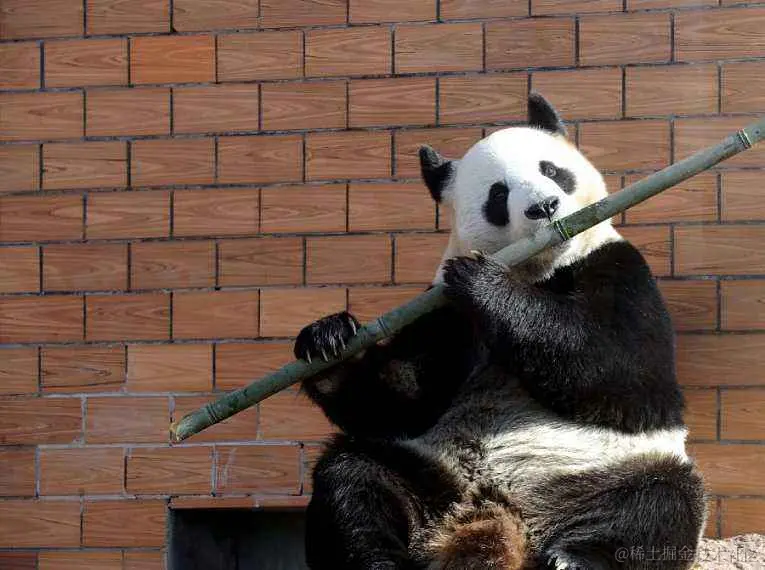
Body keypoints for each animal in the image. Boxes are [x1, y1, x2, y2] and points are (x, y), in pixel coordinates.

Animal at [294, 93, 707, 570]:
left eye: (551, 170)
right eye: (498, 194)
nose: (544, 207)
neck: (539, 270)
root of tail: (500, 516)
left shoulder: (619, 268)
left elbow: (624, 370)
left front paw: (482, 282)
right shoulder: (441, 312)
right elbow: (402, 399)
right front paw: (328, 342)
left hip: (604, 469)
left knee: (659, 501)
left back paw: (575, 558)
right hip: (430, 472)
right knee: (355, 479)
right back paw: (379, 560)